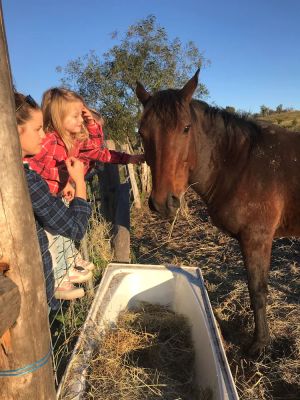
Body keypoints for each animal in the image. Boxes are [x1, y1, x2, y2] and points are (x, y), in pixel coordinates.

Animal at [137, 69, 300, 356]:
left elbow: (258, 291)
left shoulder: (257, 239)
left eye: (186, 128)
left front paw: (260, 343)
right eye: (142, 132)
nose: (162, 203)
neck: (241, 163)